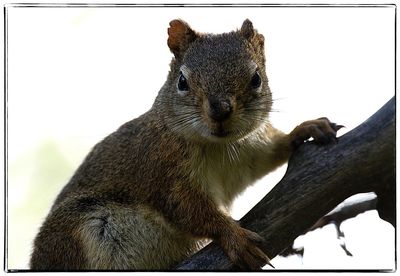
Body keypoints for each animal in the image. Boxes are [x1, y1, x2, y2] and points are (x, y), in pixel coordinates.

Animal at [29, 20, 340, 272]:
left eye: (256, 79)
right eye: (182, 81)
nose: (220, 110)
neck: (218, 147)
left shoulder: (249, 151)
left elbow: (269, 155)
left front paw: (304, 130)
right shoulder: (164, 169)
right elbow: (190, 210)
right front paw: (234, 236)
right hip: (74, 231)